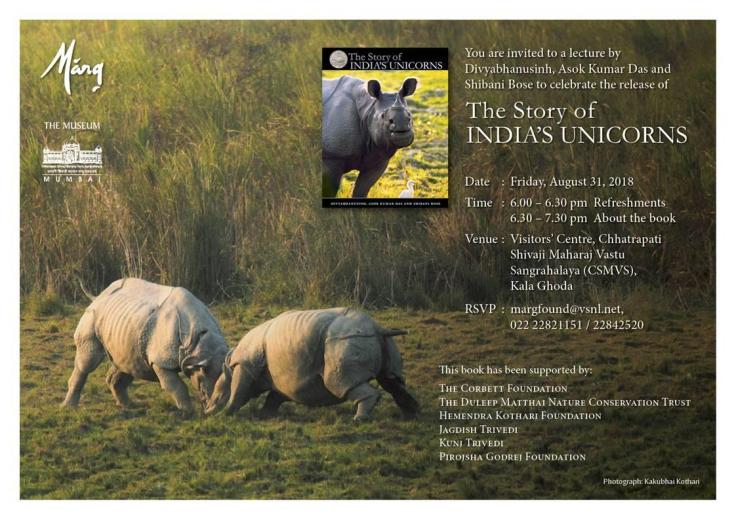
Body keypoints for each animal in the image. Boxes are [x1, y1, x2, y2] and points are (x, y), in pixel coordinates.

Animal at [61, 278, 229, 413]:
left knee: (128, 363)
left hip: (127, 325)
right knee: (88, 362)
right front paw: (188, 412)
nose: (211, 407)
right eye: (201, 380)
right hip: (93, 315)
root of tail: (100, 295)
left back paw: (129, 407)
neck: (197, 343)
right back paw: (69, 407)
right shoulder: (161, 360)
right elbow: (176, 386)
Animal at [205, 308, 419, 421]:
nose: (206, 410)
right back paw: (413, 413)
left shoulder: (245, 366)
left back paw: (358, 419)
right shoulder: (283, 380)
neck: (230, 367)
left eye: (216, 395)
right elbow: (274, 397)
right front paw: (264, 415)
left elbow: (237, 392)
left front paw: (225, 414)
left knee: (341, 382)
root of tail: (377, 328)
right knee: (392, 380)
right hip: (380, 342)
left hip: (342, 342)